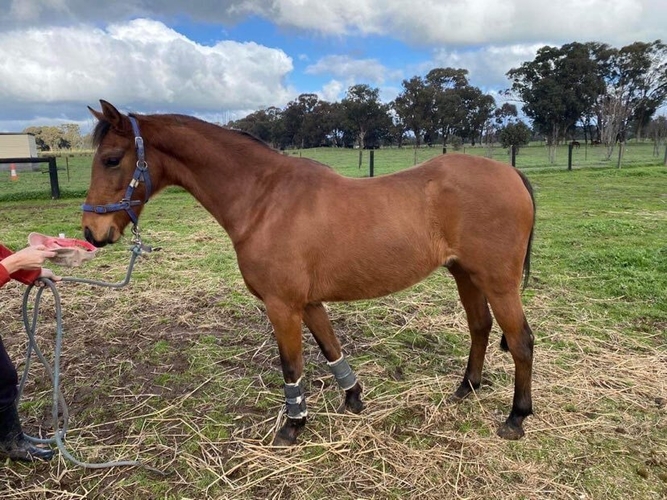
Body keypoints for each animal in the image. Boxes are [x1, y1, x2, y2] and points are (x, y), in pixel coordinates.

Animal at [82, 100, 537, 445]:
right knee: (479, 327)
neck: (264, 200)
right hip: (466, 275)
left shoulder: (281, 305)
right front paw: (353, 399)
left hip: (498, 283)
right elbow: (330, 347)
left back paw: (516, 418)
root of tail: (511, 171)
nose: (92, 232)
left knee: (520, 341)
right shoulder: (309, 301)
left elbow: (292, 365)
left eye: (111, 159)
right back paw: (466, 388)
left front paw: (293, 425)